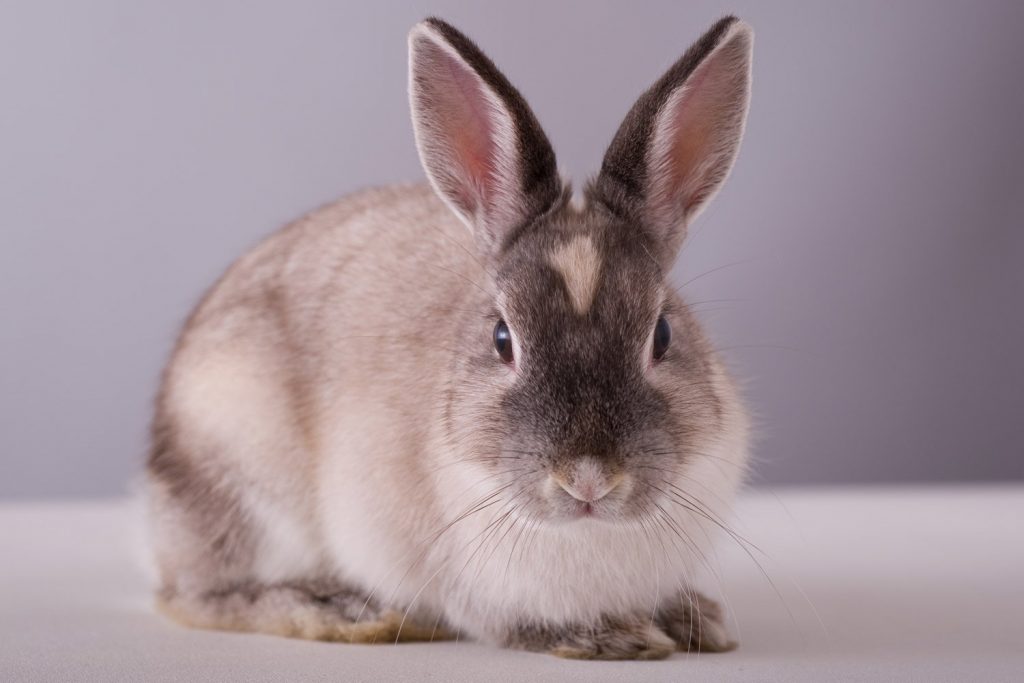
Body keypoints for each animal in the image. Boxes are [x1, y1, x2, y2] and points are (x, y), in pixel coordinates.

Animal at [147, 15, 754, 660]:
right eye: (503, 339)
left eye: (662, 334)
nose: (588, 479)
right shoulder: (468, 586)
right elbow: (508, 622)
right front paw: (615, 636)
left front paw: (697, 621)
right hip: (242, 480)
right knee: (198, 595)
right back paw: (343, 611)